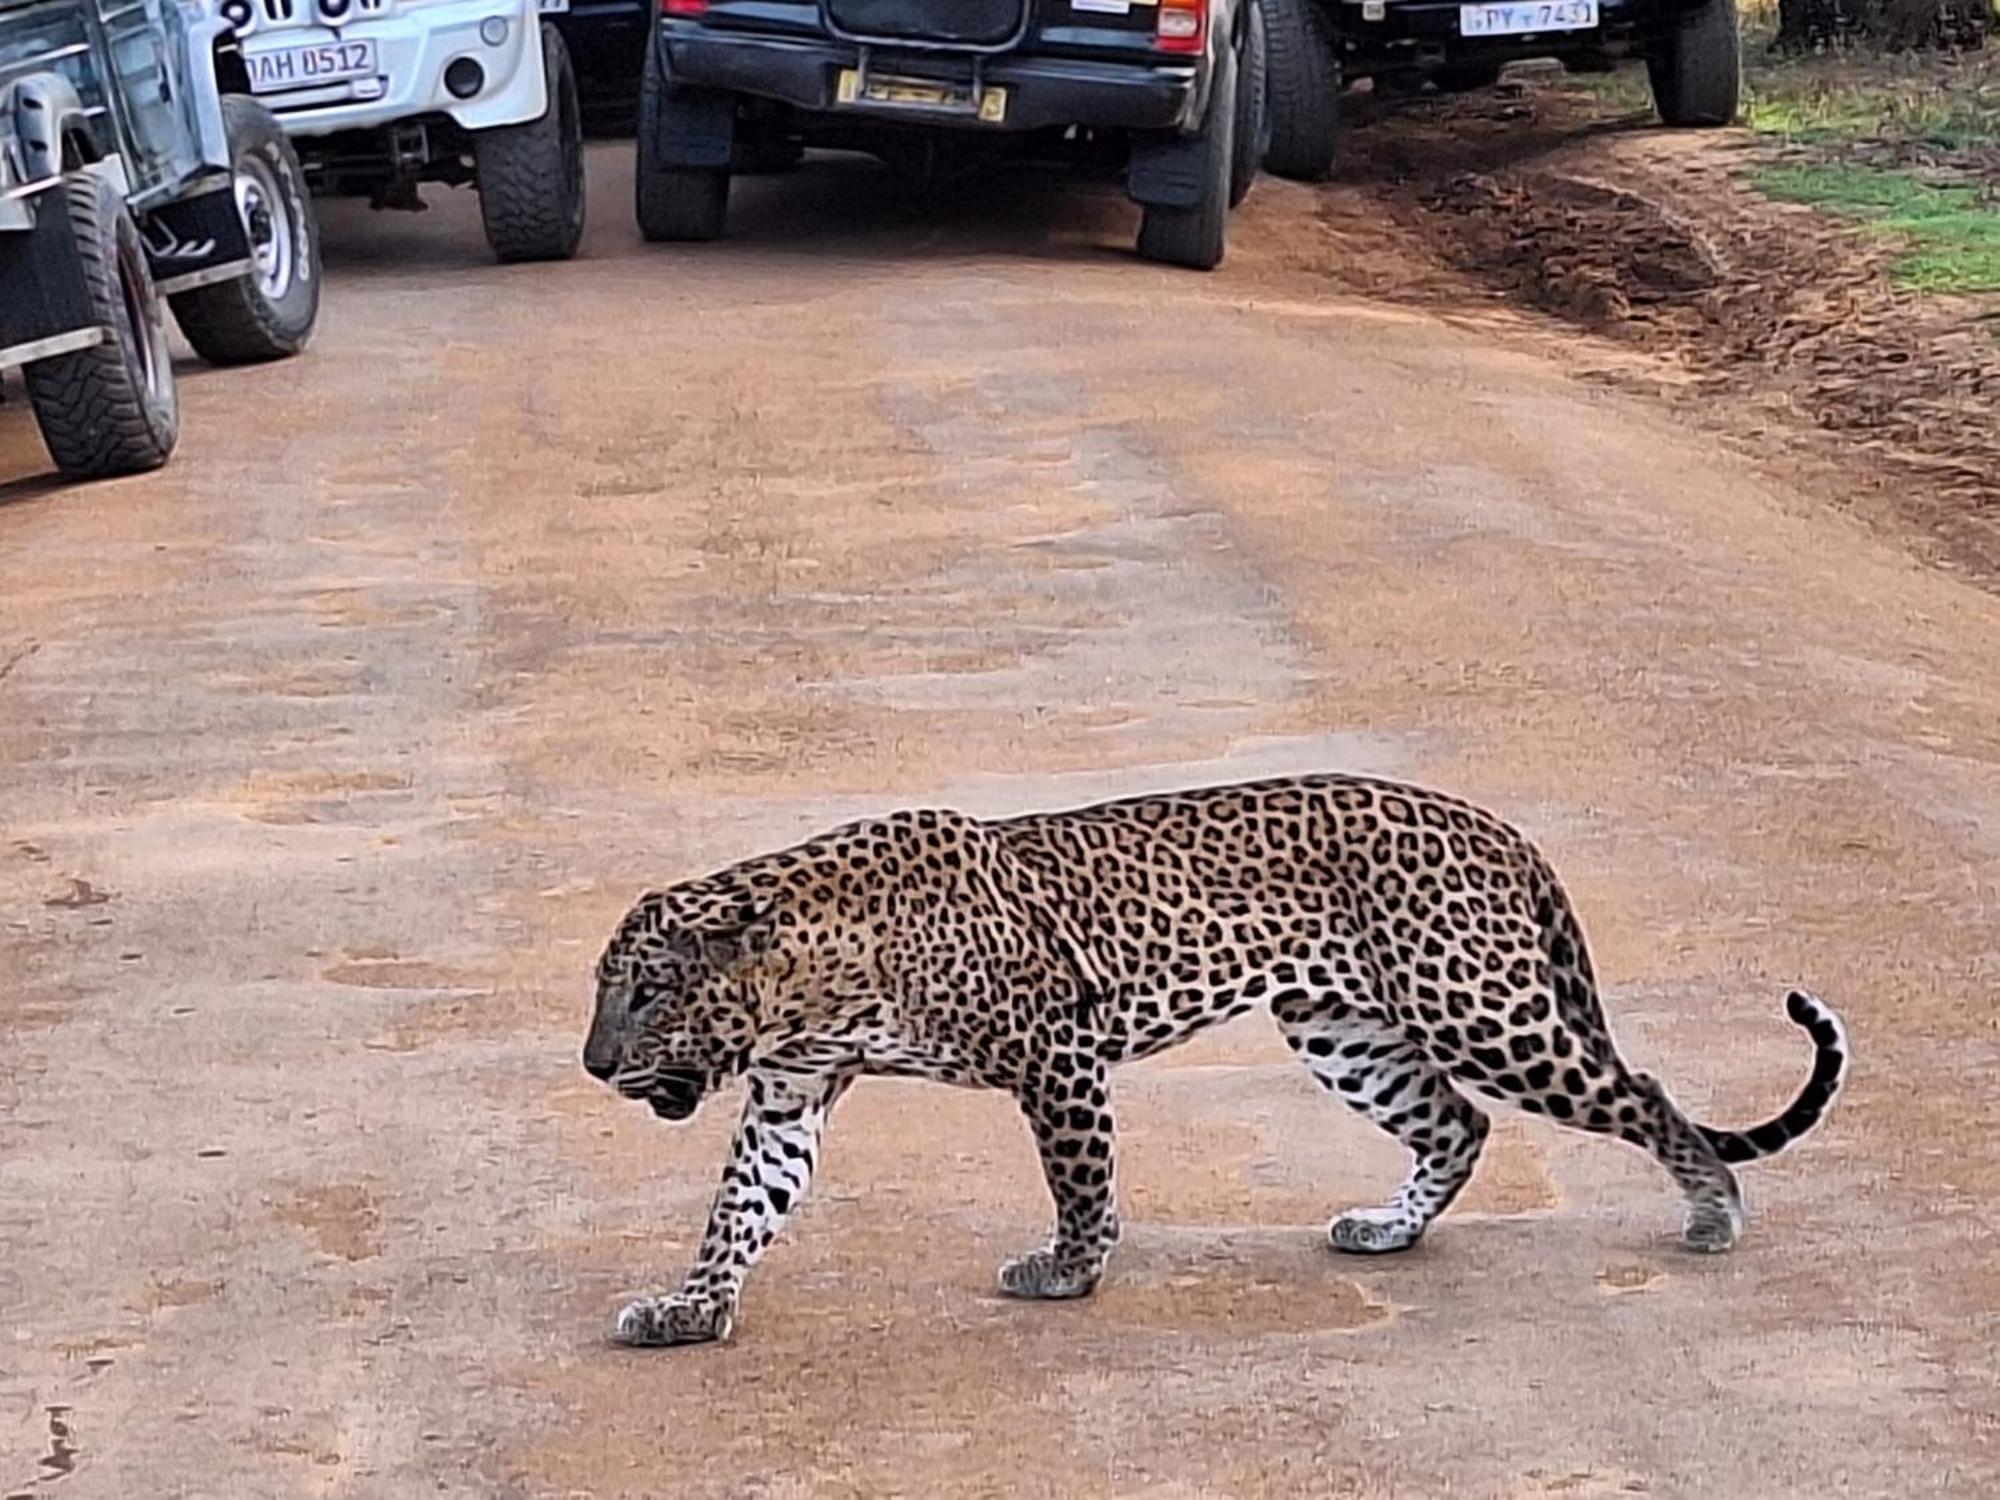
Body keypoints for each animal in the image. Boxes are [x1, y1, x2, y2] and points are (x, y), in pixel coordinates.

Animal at [584, 776, 1848, 1352]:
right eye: (612, 990)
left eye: (644, 990)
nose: (593, 1065)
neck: (813, 968)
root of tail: (1491, 822)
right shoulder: (789, 1093)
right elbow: (739, 1209)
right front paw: (690, 1308)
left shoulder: (1058, 1052)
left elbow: (1080, 1183)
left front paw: (1068, 1273)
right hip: (1343, 1028)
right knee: (1456, 1125)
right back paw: (1387, 1229)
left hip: (1480, 1008)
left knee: (1637, 1093)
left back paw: (1711, 1212)